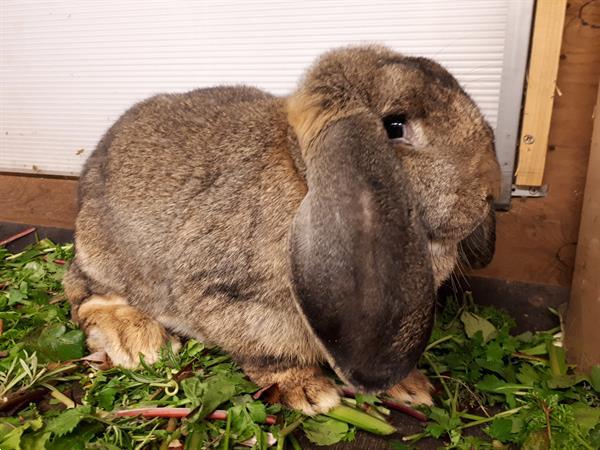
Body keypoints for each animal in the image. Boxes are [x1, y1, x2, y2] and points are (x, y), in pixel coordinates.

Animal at [63, 45, 500, 414]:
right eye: (395, 126)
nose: (489, 191)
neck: (303, 175)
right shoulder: (234, 302)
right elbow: (271, 354)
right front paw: (310, 392)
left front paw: (411, 387)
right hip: (106, 257)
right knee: (81, 292)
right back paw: (138, 340)